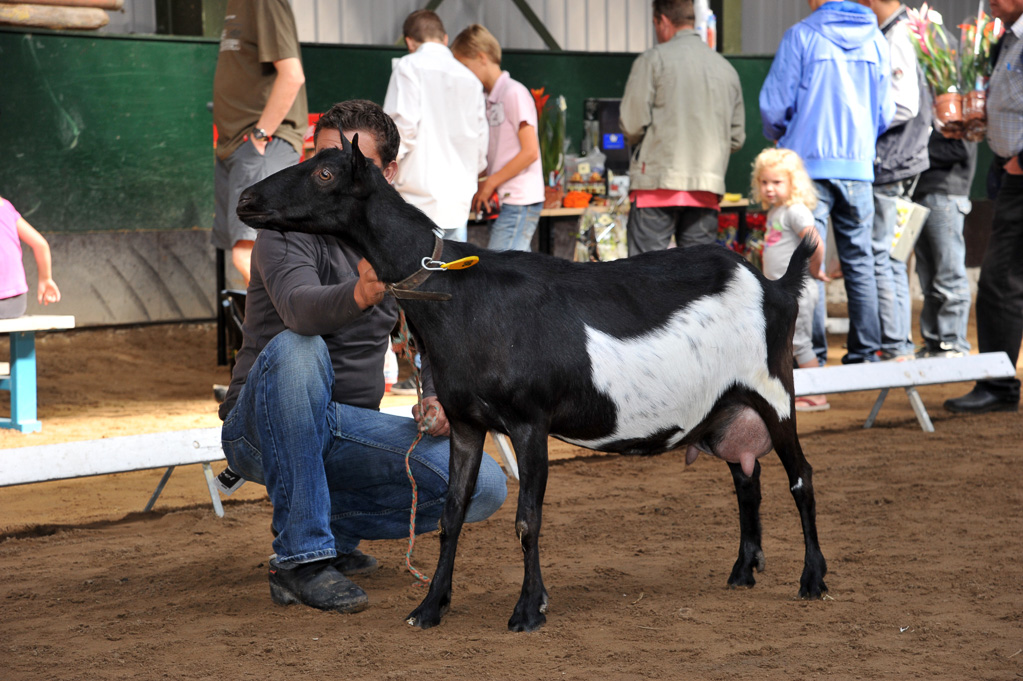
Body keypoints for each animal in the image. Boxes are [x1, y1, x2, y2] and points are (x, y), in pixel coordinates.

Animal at [239, 137, 830, 629]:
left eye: (325, 173)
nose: (246, 199)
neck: (460, 294)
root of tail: (774, 285)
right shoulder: (465, 423)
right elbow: (450, 516)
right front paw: (429, 607)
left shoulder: (529, 422)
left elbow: (527, 520)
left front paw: (528, 610)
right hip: (726, 408)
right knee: (747, 480)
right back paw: (742, 572)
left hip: (774, 392)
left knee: (801, 478)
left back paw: (813, 579)